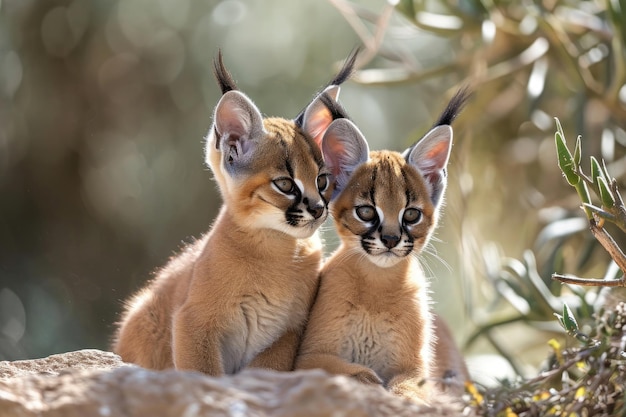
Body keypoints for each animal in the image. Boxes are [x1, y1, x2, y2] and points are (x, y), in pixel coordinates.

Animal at [114, 51, 364, 374]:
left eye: (322, 181)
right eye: (285, 184)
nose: (318, 208)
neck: (277, 248)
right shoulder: (192, 321)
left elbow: (267, 368)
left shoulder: (290, 332)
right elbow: (203, 373)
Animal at [294, 88, 468, 404]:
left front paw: (402, 395)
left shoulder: (416, 369)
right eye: (366, 212)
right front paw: (367, 380)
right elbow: (341, 368)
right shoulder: (308, 356)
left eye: (411, 214)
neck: (377, 284)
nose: (390, 239)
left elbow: (411, 387)